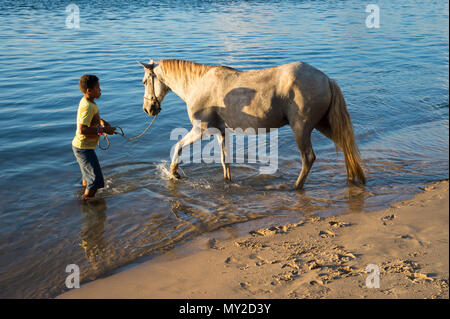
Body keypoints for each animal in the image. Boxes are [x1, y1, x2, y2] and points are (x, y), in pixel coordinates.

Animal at [138, 58, 366, 189]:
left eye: (144, 81)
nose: (148, 109)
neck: (199, 83)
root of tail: (326, 79)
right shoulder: (220, 131)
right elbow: (224, 160)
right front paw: (227, 180)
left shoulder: (200, 130)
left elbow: (177, 146)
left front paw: (174, 173)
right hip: (323, 124)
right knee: (345, 145)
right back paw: (351, 178)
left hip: (301, 129)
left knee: (308, 158)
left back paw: (296, 186)